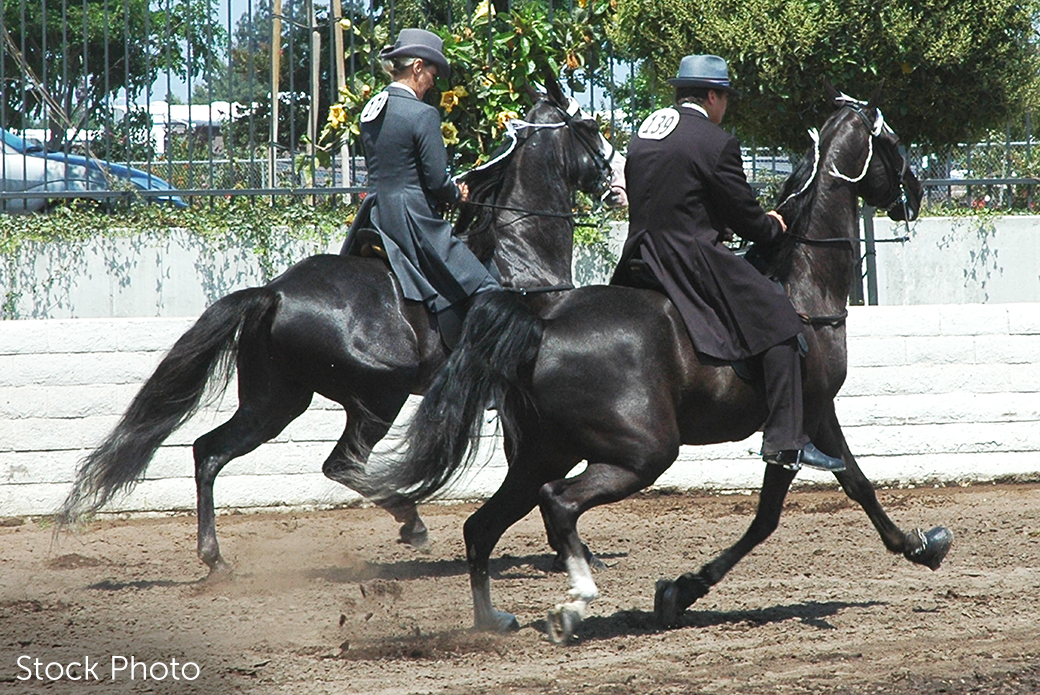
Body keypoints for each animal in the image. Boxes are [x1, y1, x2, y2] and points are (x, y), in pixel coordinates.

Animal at [59, 80, 615, 574]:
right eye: (591, 126)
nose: (616, 183)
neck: (522, 257)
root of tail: (276, 292)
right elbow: (535, 467)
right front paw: (574, 551)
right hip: (379, 395)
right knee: (340, 463)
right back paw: (411, 521)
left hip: (276, 402)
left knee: (209, 452)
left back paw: (215, 559)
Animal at [380, 89, 952, 645]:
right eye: (894, 144)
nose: (917, 192)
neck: (804, 281)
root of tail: (543, 325)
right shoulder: (802, 417)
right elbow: (772, 515)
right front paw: (682, 590)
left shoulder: (817, 413)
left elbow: (857, 483)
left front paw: (920, 545)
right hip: (643, 453)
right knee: (557, 504)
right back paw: (575, 602)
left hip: (544, 452)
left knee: (481, 527)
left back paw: (490, 621)